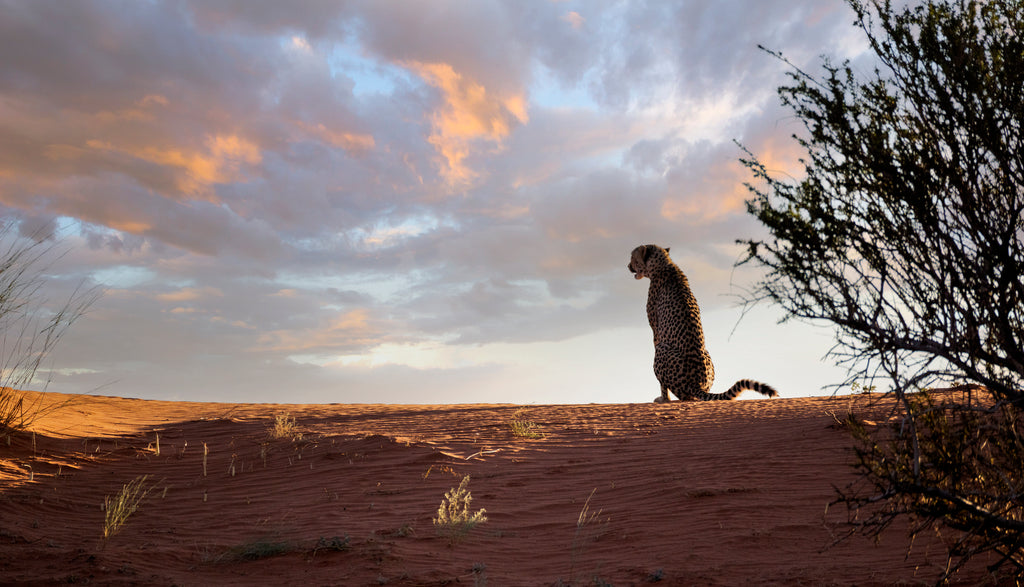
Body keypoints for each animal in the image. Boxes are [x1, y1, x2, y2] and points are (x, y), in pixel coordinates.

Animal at [628, 244, 778, 402]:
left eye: (632, 257)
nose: (628, 266)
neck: (663, 264)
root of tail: (697, 385)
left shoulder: (656, 333)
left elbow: (662, 384)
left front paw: (664, 399)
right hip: (707, 355)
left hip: (662, 350)